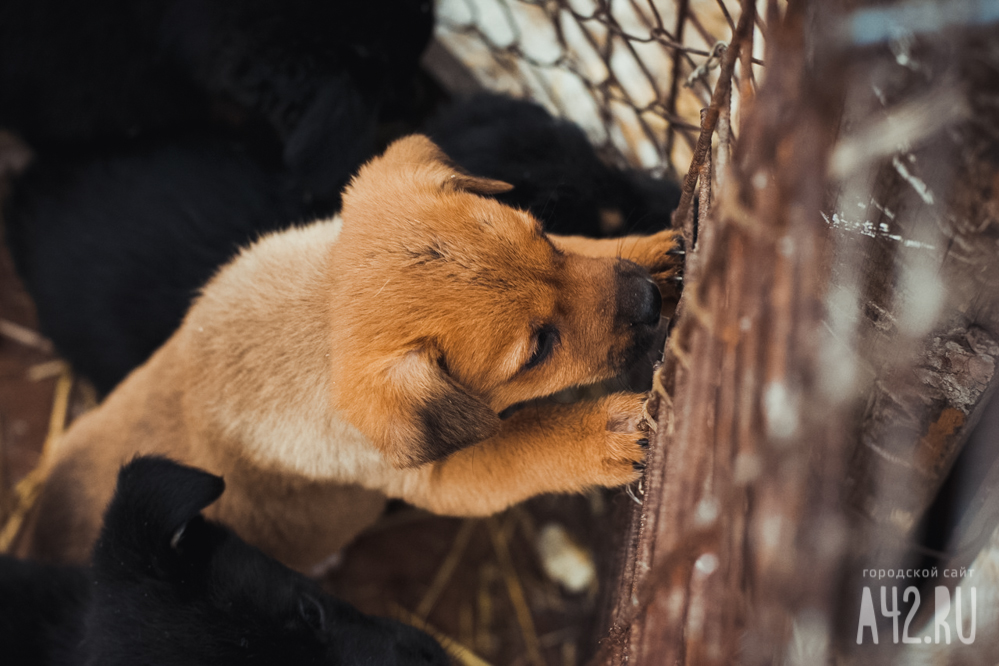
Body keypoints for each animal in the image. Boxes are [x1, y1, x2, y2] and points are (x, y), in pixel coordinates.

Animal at [15, 136, 684, 572]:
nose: (649, 300)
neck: (318, 314)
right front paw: (607, 432)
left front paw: (656, 249)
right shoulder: (445, 477)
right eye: (540, 347)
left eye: (543, 234)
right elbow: (530, 444)